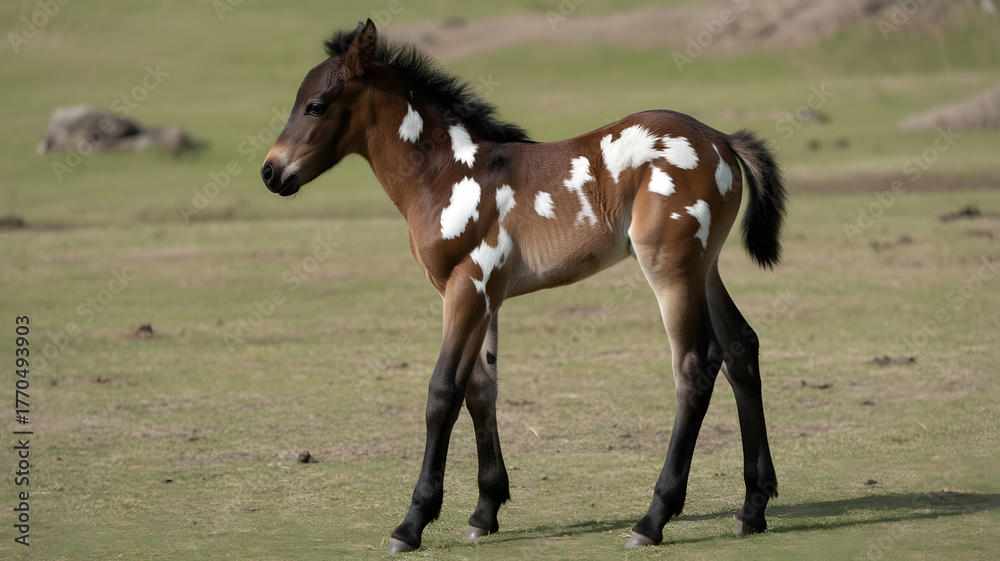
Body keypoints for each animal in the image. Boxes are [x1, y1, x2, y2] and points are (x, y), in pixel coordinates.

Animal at [261, 19, 786, 553]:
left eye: (315, 105)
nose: (270, 171)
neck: (445, 175)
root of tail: (721, 139)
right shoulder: (484, 296)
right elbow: (481, 389)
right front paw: (484, 511)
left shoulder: (468, 285)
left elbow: (442, 393)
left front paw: (413, 522)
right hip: (705, 267)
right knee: (741, 348)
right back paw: (753, 507)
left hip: (671, 270)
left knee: (695, 366)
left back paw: (653, 519)